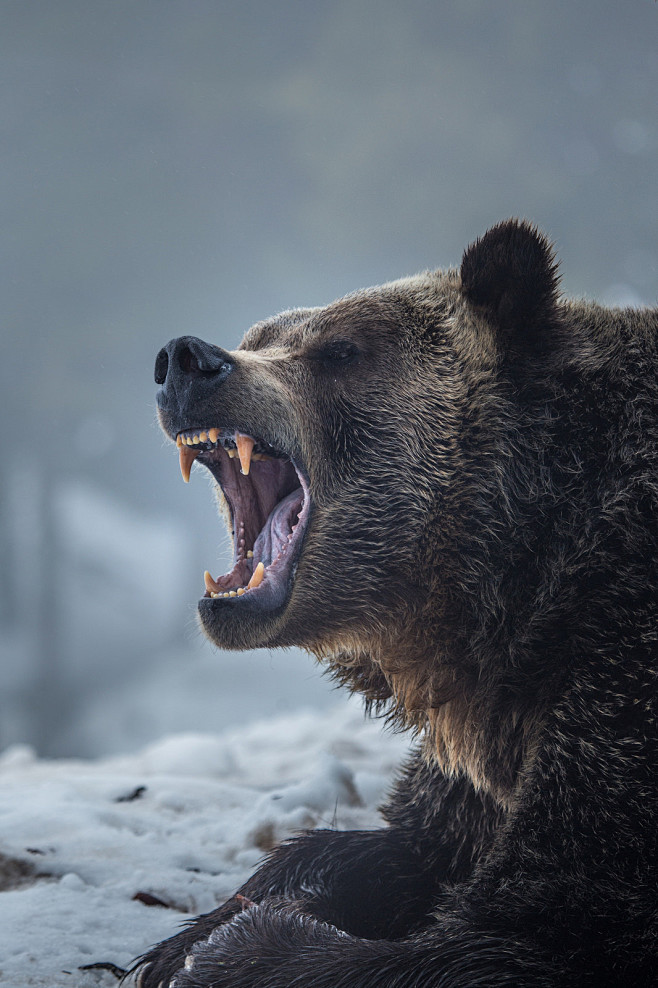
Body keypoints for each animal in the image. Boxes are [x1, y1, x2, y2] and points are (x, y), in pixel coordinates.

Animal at [136, 220, 652, 984]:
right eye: (260, 333)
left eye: (340, 351)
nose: (186, 359)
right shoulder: (478, 747)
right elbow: (404, 846)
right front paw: (190, 935)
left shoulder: (616, 676)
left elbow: (525, 926)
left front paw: (235, 947)